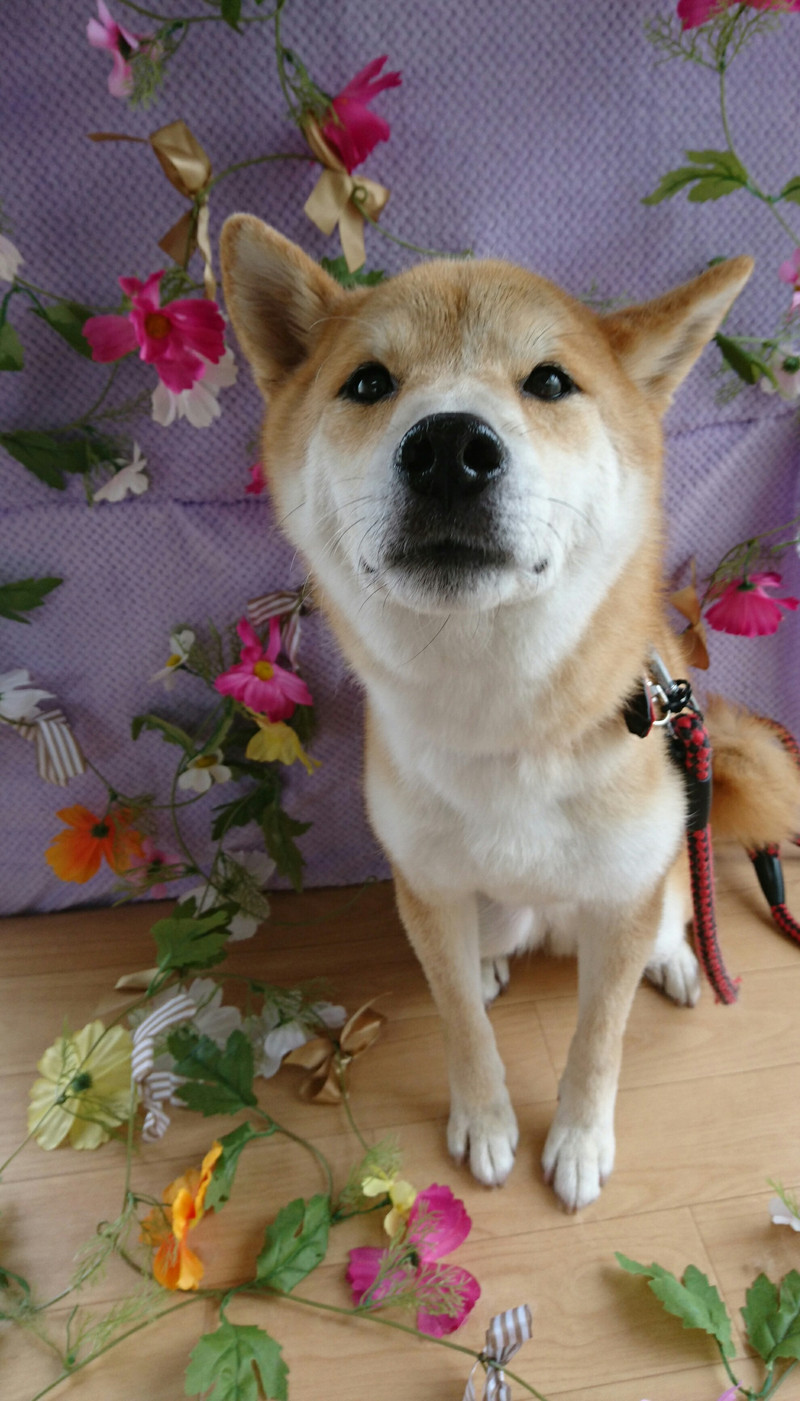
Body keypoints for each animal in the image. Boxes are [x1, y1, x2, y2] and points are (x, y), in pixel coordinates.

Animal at [220, 218, 800, 1209]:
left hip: (660, 870)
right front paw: (488, 1122)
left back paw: (677, 958)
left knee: (678, 910)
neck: (502, 718)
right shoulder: (429, 890)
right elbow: (460, 1023)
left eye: (551, 381)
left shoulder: (622, 897)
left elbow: (598, 1040)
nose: (450, 446)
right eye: (368, 382)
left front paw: (577, 1139)